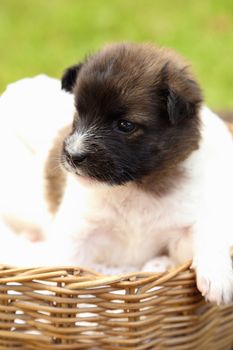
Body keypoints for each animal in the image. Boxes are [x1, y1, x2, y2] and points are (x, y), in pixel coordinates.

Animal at [0, 44, 233, 306]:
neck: (134, 187)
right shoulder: (77, 233)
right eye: (78, 114)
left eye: (125, 125)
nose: (72, 155)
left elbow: (206, 233)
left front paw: (218, 276)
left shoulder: (179, 231)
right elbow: (64, 267)